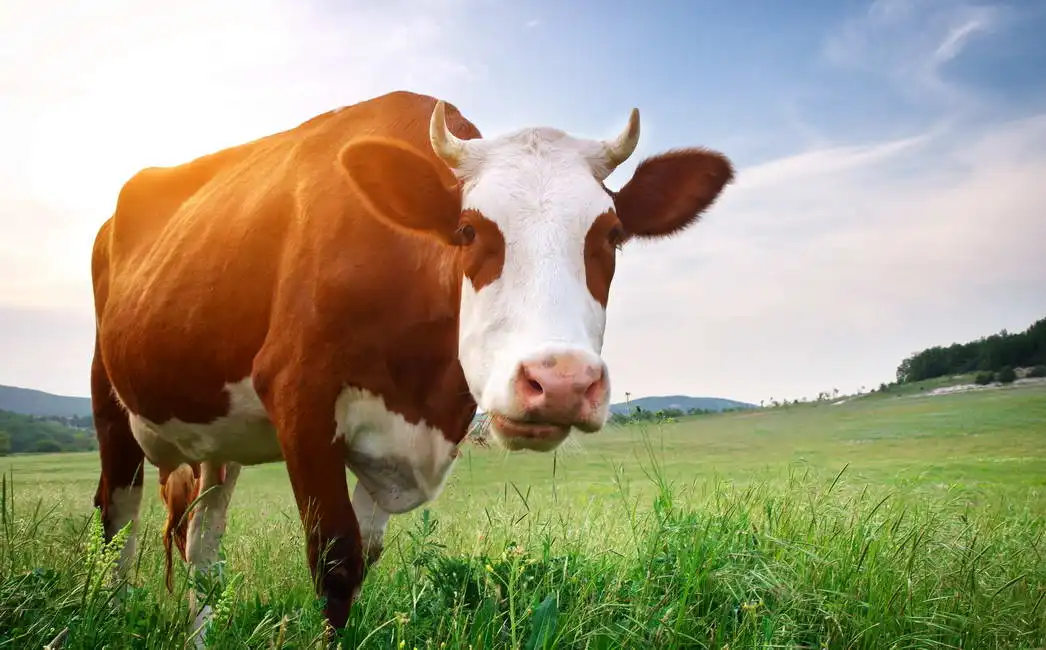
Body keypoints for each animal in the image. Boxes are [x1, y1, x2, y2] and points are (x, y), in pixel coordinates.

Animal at [89, 90, 733, 642]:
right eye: (468, 230)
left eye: (614, 233)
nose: (560, 382)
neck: (425, 392)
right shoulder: (300, 399)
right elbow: (335, 561)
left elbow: (362, 560)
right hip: (110, 399)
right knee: (117, 523)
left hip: (217, 441)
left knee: (201, 546)